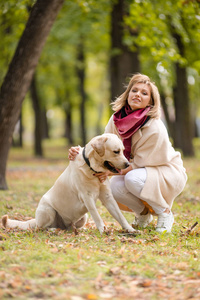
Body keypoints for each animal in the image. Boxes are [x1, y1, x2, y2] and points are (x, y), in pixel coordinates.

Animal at [2, 134, 138, 234]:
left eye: (123, 151)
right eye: (116, 151)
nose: (128, 164)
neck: (91, 168)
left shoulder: (107, 197)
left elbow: (120, 216)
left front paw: (130, 229)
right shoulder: (87, 197)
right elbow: (96, 215)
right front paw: (103, 230)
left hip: (83, 218)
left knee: (70, 227)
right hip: (48, 210)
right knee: (41, 227)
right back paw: (53, 229)